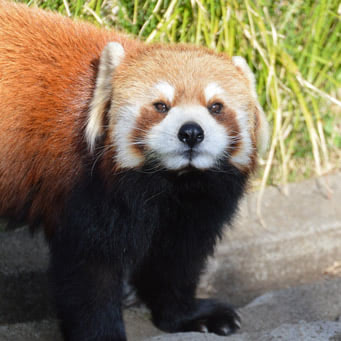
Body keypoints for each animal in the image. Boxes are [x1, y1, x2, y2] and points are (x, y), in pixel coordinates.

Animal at [0, 1, 268, 338]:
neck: (173, 181)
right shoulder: (86, 187)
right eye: (161, 106)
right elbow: (90, 273)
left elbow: (177, 258)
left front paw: (189, 315)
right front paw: (103, 333)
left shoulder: (196, 204)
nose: (191, 132)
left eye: (216, 107)